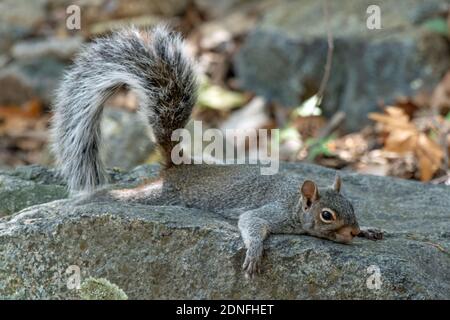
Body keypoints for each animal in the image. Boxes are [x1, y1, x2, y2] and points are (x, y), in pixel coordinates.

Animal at [51, 26, 384, 278]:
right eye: (327, 215)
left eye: (352, 205)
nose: (352, 232)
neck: (294, 204)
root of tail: (179, 168)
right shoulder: (273, 211)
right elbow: (251, 222)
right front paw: (254, 254)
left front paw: (369, 230)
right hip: (161, 195)